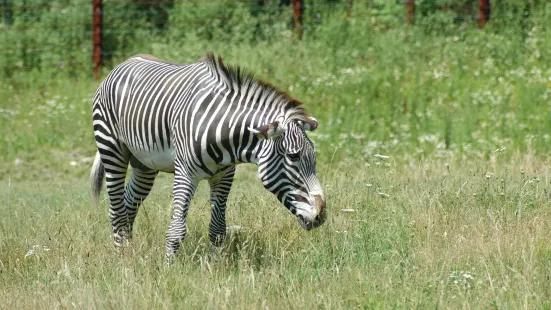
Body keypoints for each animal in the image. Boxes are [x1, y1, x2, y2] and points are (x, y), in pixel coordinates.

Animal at [88, 53, 326, 262]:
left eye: (313, 157)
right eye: (293, 157)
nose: (320, 216)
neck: (223, 134)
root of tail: (124, 63)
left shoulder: (224, 176)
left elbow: (218, 229)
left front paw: (216, 267)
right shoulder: (185, 174)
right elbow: (176, 230)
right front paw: (169, 270)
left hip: (145, 165)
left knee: (129, 203)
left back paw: (130, 251)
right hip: (112, 149)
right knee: (116, 209)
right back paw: (122, 258)